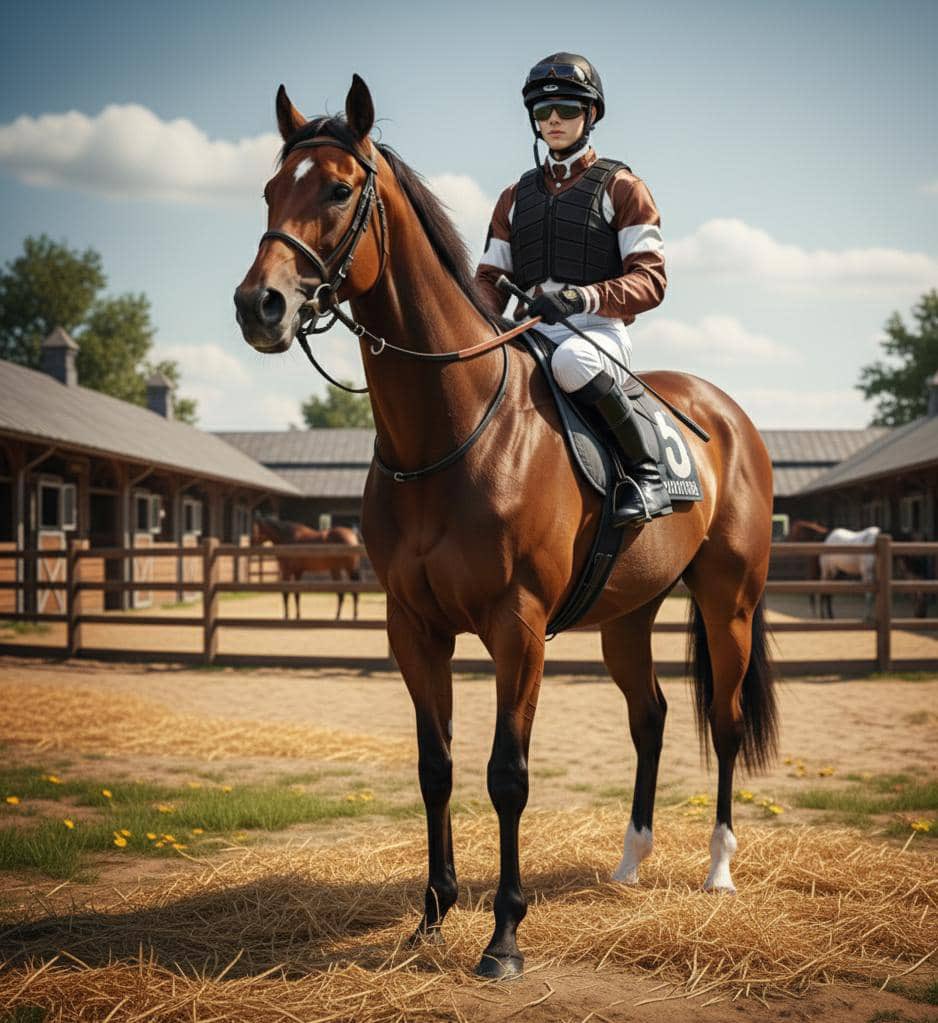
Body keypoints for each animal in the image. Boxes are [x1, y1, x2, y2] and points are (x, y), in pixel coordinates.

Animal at [234, 76, 778, 980]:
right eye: (272, 190)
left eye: (339, 190)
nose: (259, 305)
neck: (449, 434)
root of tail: (728, 415)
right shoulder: (412, 626)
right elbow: (436, 767)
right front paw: (431, 915)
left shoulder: (516, 626)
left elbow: (507, 775)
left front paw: (504, 936)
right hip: (627, 615)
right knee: (651, 716)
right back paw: (629, 861)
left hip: (727, 601)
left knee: (727, 721)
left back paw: (719, 869)